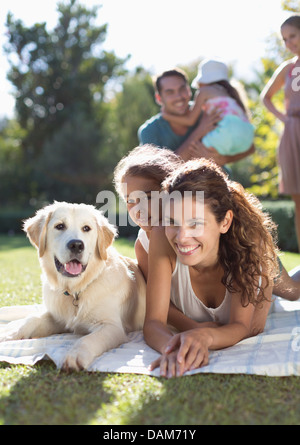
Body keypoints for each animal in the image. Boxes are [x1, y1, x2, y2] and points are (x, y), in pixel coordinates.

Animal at [0, 202, 146, 372]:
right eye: (60, 226)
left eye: (86, 228)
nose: (76, 245)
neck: (76, 290)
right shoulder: (58, 318)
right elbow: (32, 320)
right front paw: (8, 335)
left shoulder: (112, 327)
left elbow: (88, 339)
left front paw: (75, 356)